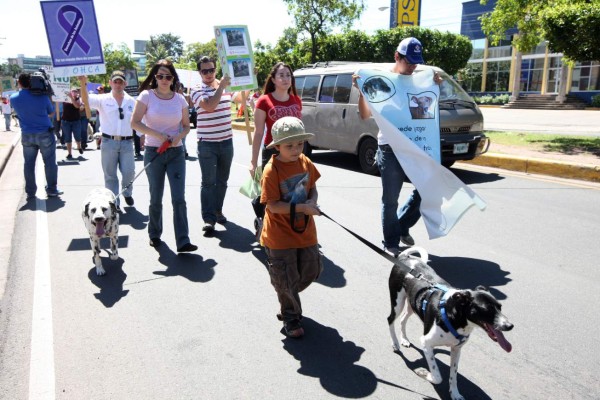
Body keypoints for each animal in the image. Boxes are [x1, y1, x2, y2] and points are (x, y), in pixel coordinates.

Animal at [392, 247, 512, 400]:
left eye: (500, 307)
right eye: (487, 310)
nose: (509, 326)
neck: (455, 319)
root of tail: (404, 258)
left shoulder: (456, 349)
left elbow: (453, 376)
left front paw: (455, 393)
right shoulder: (426, 343)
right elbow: (437, 376)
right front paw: (424, 373)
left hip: (411, 305)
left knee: (403, 319)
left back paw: (404, 340)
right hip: (397, 303)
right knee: (390, 320)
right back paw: (395, 343)